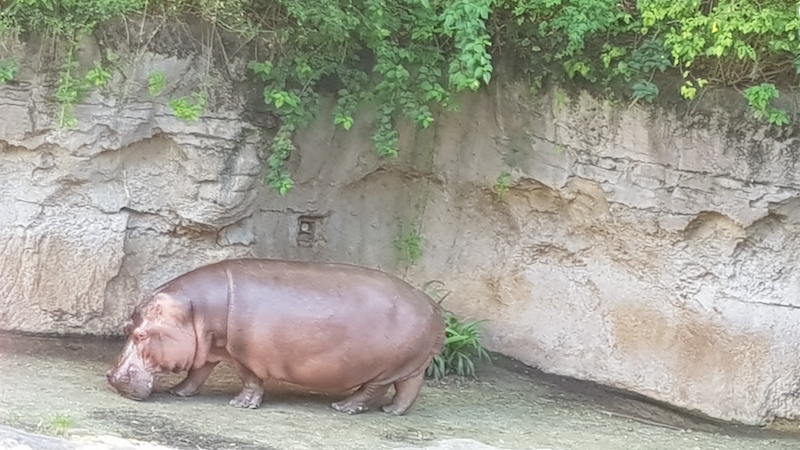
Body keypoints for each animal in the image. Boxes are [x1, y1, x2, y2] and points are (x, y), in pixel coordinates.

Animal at [106, 258, 445, 415]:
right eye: (127, 328)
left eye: (140, 334)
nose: (111, 377)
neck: (193, 311)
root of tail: (432, 305)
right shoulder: (209, 348)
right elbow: (198, 372)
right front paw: (179, 393)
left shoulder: (242, 355)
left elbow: (250, 380)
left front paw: (240, 405)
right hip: (411, 365)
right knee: (407, 389)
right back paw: (393, 411)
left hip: (386, 368)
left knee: (372, 390)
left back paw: (344, 408)